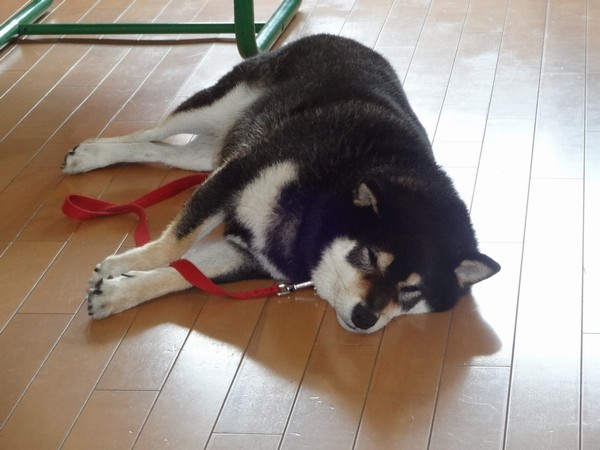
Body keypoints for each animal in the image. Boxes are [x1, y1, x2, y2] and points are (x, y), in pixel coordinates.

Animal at [62, 34, 500, 334]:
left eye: (412, 292)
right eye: (369, 257)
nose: (365, 317)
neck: (320, 201)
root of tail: (347, 40)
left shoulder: (254, 254)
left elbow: (185, 273)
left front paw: (120, 293)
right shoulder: (240, 172)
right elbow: (173, 246)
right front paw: (122, 265)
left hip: (214, 150)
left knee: (168, 151)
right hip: (217, 107)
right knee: (153, 131)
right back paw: (90, 153)